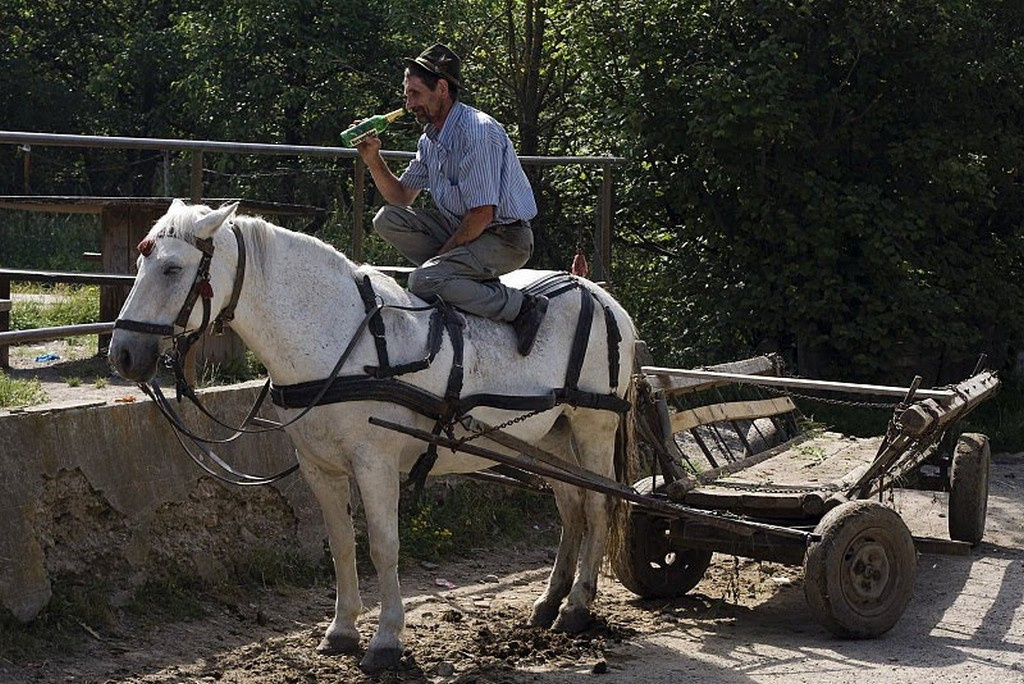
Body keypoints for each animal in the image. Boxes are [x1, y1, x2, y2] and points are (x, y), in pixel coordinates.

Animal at [108, 198, 634, 671]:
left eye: (173, 269)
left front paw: (386, 640)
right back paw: (549, 601)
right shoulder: (319, 468)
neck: (344, 339)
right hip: (550, 434)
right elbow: (342, 544)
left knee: (598, 504)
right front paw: (341, 630)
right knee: (571, 506)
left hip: (593, 425)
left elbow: (383, 546)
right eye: (141, 262)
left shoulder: (374, 463)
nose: (124, 355)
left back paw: (577, 606)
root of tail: (601, 296)